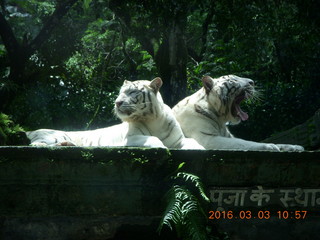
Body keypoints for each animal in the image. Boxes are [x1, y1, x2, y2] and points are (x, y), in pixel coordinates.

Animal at [26, 77, 204, 149]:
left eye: (132, 92)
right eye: (120, 93)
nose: (117, 102)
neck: (154, 119)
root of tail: (31, 131)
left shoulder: (179, 140)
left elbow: (194, 142)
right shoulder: (130, 139)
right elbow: (153, 139)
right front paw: (161, 146)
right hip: (53, 135)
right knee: (37, 144)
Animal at [172, 74, 304, 152]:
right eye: (234, 80)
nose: (252, 82)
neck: (220, 120)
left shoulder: (226, 136)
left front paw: (295, 147)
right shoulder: (207, 138)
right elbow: (245, 143)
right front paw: (270, 147)